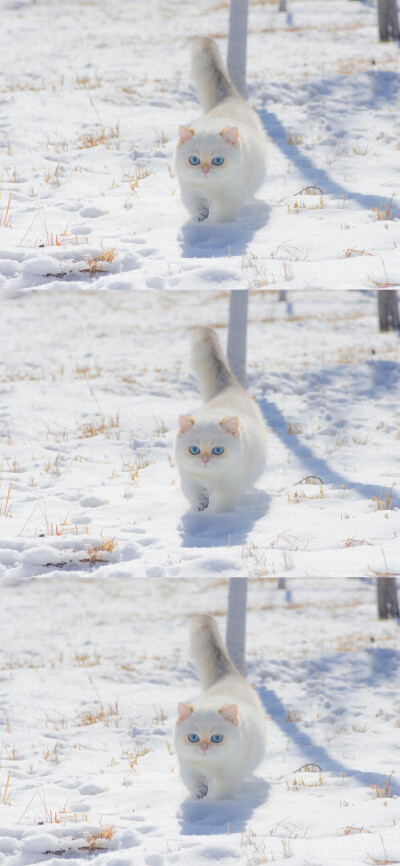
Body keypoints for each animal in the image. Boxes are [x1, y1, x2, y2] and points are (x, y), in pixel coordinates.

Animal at [173, 612, 268, 800]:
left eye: (217, 738)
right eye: (193, 737)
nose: (204, 748)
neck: (210, 765)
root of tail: (228, 676)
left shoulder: (230, 773)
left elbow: (223, 791)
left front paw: (217, 805)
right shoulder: (187, 765)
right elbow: (193, 780)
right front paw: (199, 793)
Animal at [176, 37, 268, 221]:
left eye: (218, 161)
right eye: (194, 160)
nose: (205, 171)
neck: (212, 188)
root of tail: (229, 98)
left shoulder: (231, 197)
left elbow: (225, 214)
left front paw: (220, 227)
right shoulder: (189, 189)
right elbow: (195, 203)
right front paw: (200, 215)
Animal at [176, 328, 268, 510]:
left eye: (218, 450)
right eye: (194, 450)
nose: (205, 460)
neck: (212, 478)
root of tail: (229, 388)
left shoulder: (231, 488)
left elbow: (223, 504)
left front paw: (218, 516)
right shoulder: (189, 478)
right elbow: (194, 492)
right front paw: (200, 504)